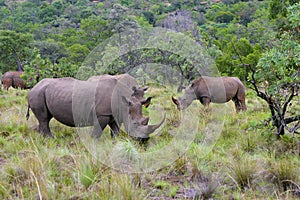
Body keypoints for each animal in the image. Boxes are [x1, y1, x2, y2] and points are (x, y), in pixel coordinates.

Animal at [26, 75, 165, 139]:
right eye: (135, 123)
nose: (144, 140)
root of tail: (32, 88)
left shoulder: (113, 114)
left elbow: (115, 131)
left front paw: (115, 142)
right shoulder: (102, 113)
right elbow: (97, 133)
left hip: (42, 93)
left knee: (46, 118)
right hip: (37, 94)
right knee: (44, 119)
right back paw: (51, 139)